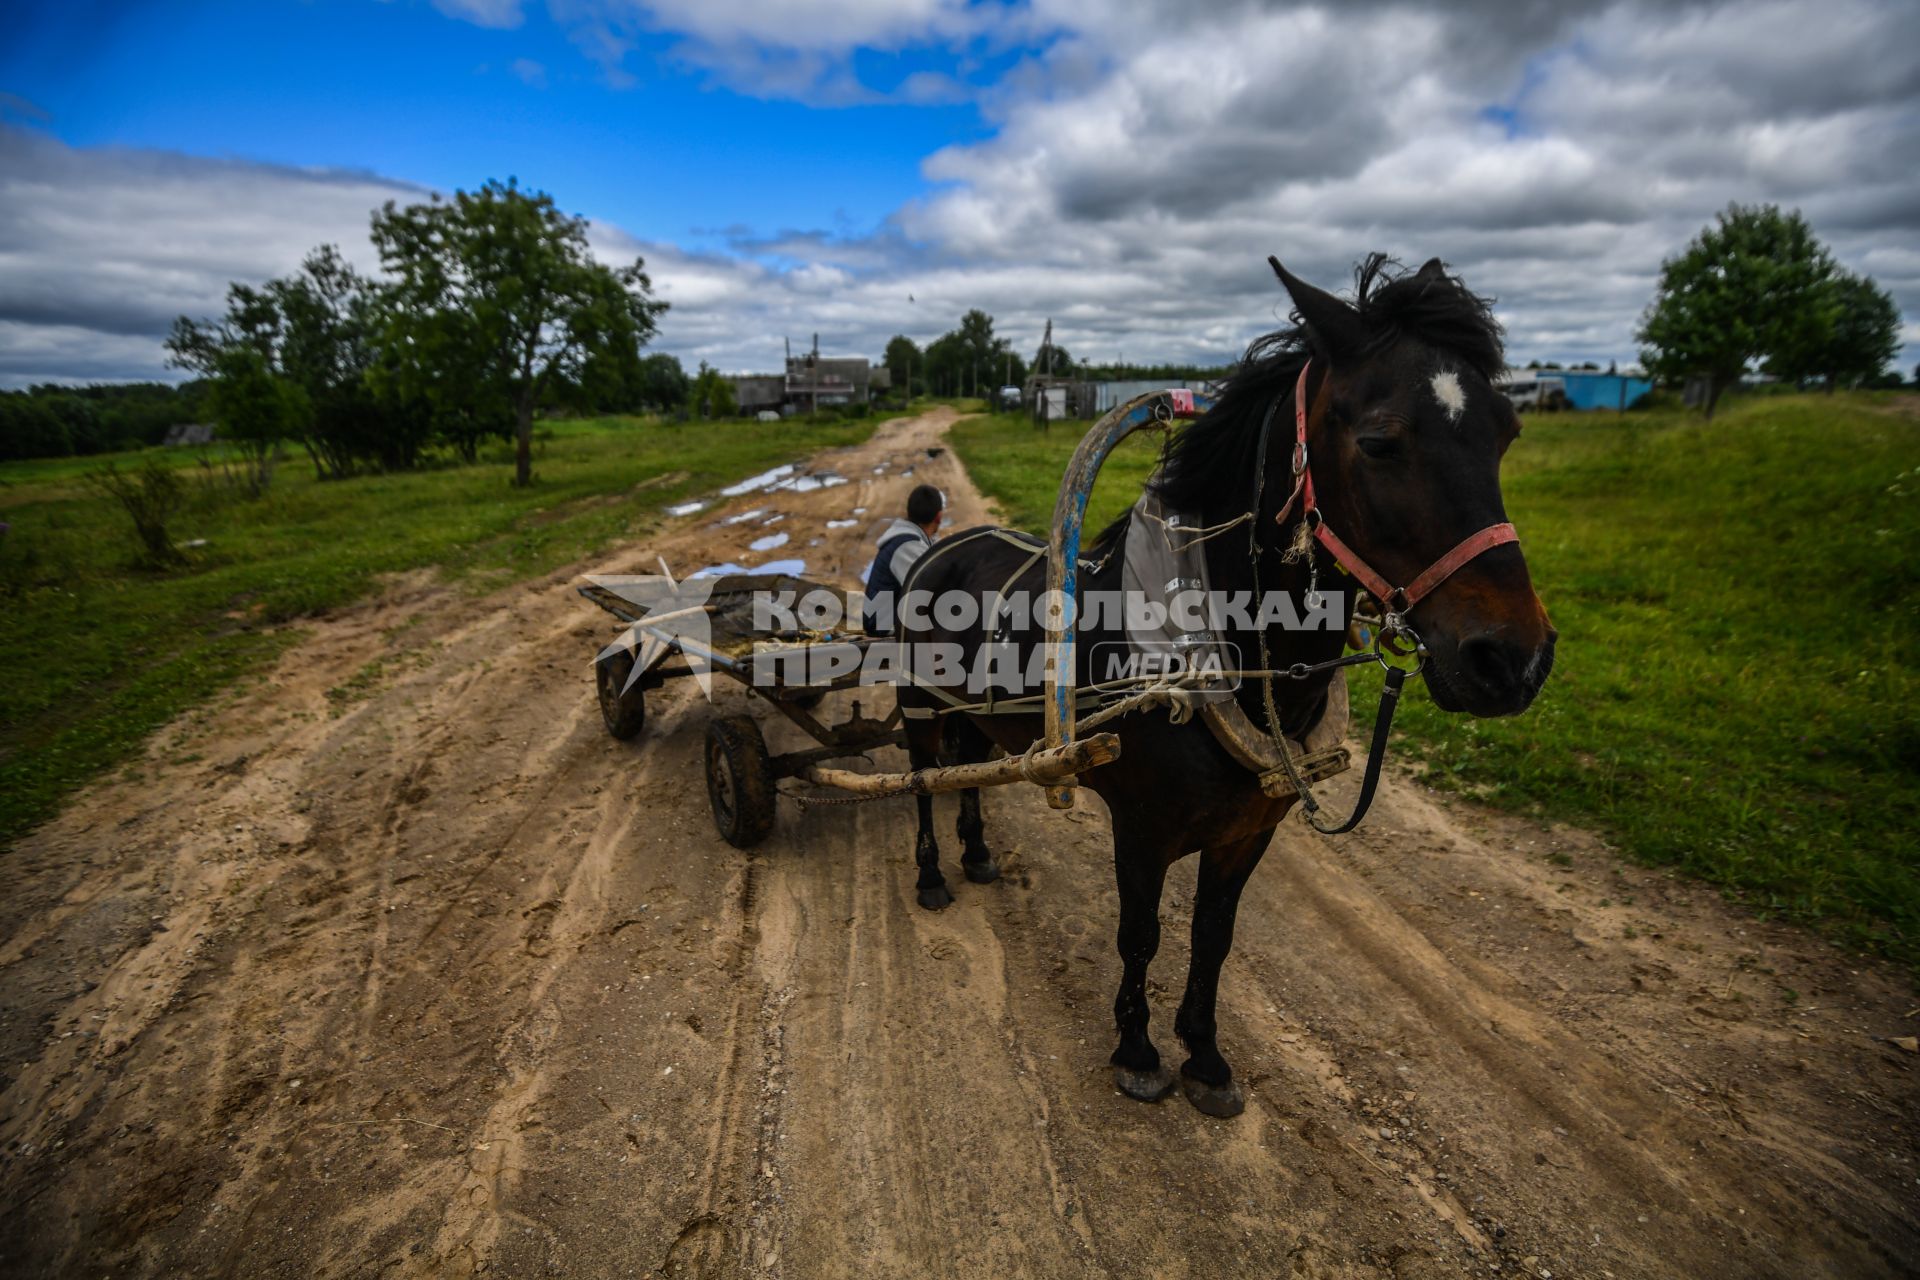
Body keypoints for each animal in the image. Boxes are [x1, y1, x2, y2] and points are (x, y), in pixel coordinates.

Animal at [890, 255, 1551, 1113]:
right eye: (1379, 440)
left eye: (1506, 432)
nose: (1513, 660)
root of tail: (943, 546)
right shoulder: (1140, 828)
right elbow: (1141, 934)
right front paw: (1137, 1050)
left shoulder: (1248, 831)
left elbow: (1214, 936)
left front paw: (1204, 1054)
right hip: (917, 710)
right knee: (924, 782)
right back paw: (934, 873)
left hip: (977, 716)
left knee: (971, 772)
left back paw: (974, 854)